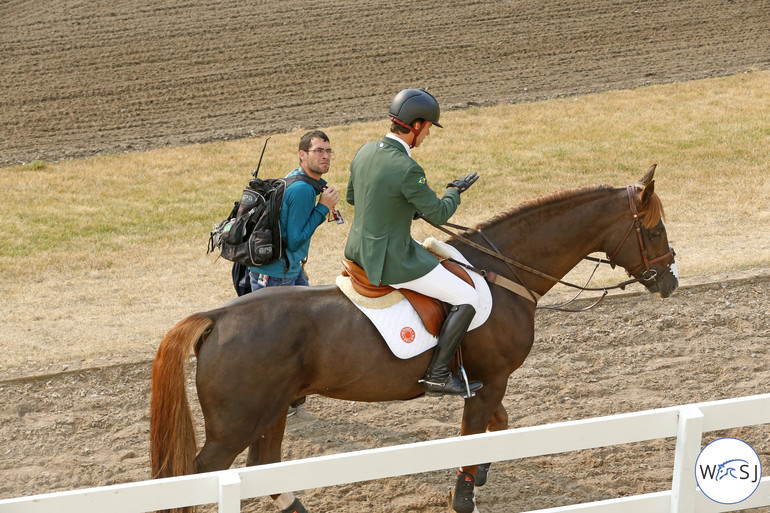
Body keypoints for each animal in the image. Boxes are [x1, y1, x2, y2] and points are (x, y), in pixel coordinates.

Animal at [148, 166, 672, 510]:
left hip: (271, 409)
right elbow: (476, 432)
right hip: (235, 424)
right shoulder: (492, 379)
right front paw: (465, 494)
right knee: (204, 473)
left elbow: (499, 424)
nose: (670, 281)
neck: (504, 270)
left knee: (265, 466)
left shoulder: (487, 380)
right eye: (655, 229)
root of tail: (217, 316)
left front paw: (484, 470)